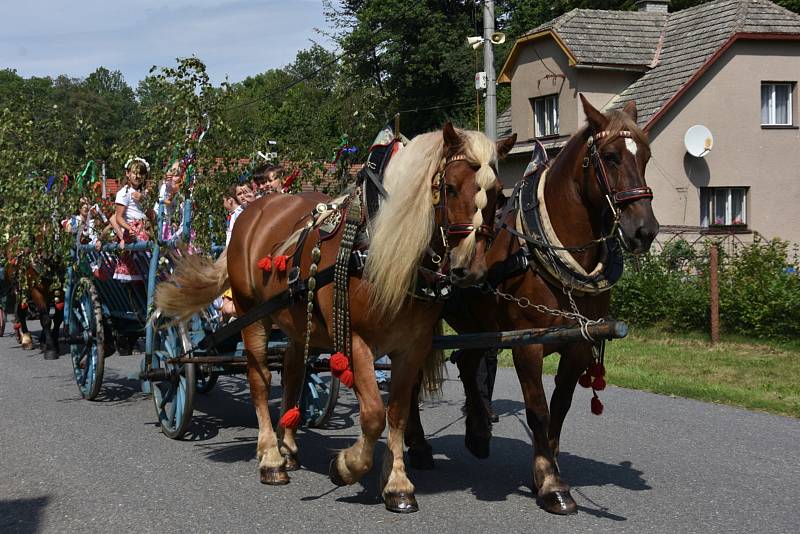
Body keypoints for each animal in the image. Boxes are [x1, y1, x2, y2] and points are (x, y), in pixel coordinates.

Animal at [156, 125, 516, 516]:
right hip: (252, 316)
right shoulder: (354, 340)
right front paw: (347, 466)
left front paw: (397, 484)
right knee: (259, 380)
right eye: (449, 187)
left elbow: (397, 413)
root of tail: (254, 211)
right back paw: (270, 458)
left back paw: (288, 448)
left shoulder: (412, 347)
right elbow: (373, 413)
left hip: (297, 321)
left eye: (497, 193)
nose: (470, 269)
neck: (378, 248)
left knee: (293, 371)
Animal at [406, 98, 664, 516]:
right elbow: (538, 409)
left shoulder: (577, 345)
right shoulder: (528, 346)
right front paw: (551, 484)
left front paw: (547, 467)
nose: (645, 231)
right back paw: (418, 445)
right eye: (610, 157)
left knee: (468, 362)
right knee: (414, 376)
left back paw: (478, 431)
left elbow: (559, 407)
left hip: (477, 323)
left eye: (646, 156)